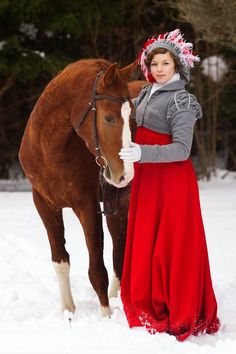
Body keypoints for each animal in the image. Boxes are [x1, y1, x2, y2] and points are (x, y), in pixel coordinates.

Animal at [18, 57, 146, 316]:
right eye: (109, 118)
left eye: (132, 118)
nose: (126, 174)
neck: (50, 151)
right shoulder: (45, 205)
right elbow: (60, 260)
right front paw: (69, 311)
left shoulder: (87, 208)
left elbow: (97, 271)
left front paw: (106, 316)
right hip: (117, 208)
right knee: (119, 252)